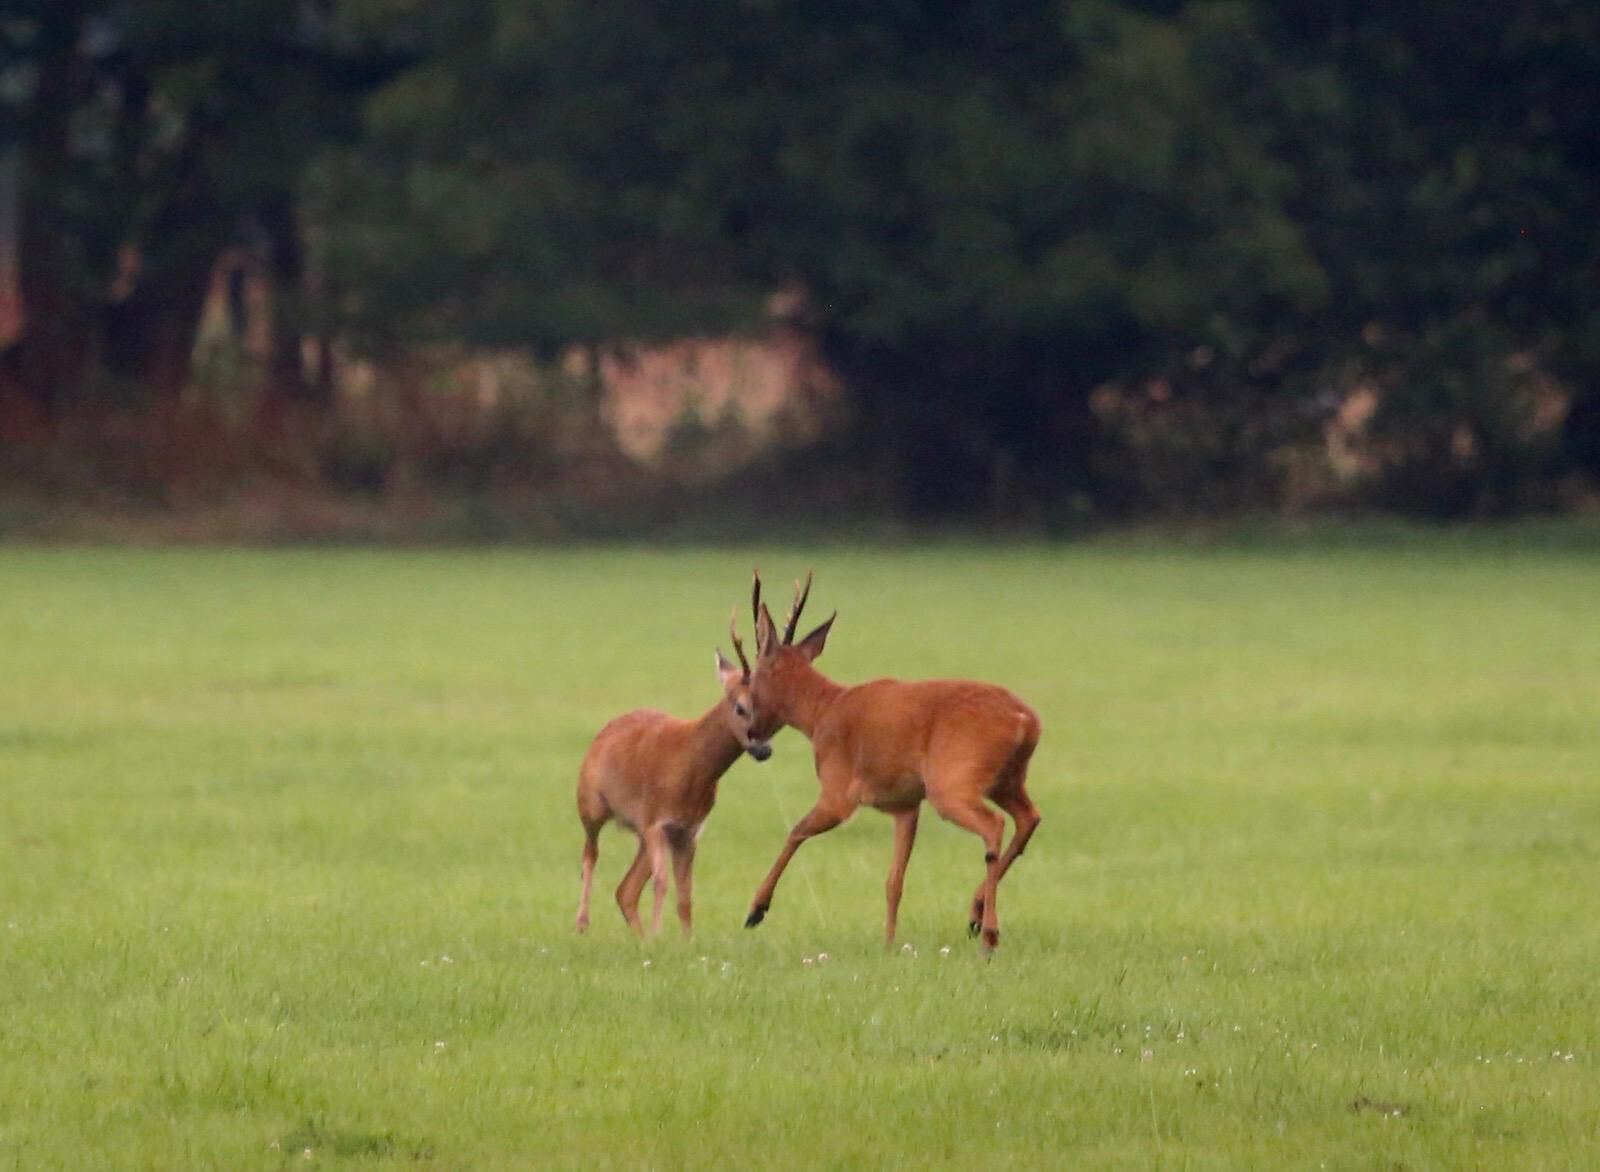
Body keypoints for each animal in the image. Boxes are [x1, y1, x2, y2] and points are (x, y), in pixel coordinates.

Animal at [575, 607, 780, 938]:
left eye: (771, 706)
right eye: (739, 706)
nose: (763, 750)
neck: (688, 766)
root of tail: (603, 732)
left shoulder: (687, 830)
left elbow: (685, 894)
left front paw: (684, 941)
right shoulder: (656, 821)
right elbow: (662, 883)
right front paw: (659, 937)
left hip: (643, 835)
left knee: (625, 890)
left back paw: (639, 939)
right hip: (590, 804)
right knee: (590, 855)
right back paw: (582, 923)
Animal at [739, 571, 1042, 953]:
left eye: (752, 677)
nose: (752, 733)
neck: (822, 711)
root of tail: (1025, 719)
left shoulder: (838, 793)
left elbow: (795, 830)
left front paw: (755, 910)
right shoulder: (905, 805)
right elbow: (894, 881)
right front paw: (888, 943)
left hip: (953, 782)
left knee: (994, 825)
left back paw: (988, 934)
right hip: (1007, 779)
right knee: (1028, 818)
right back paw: (974, 914)